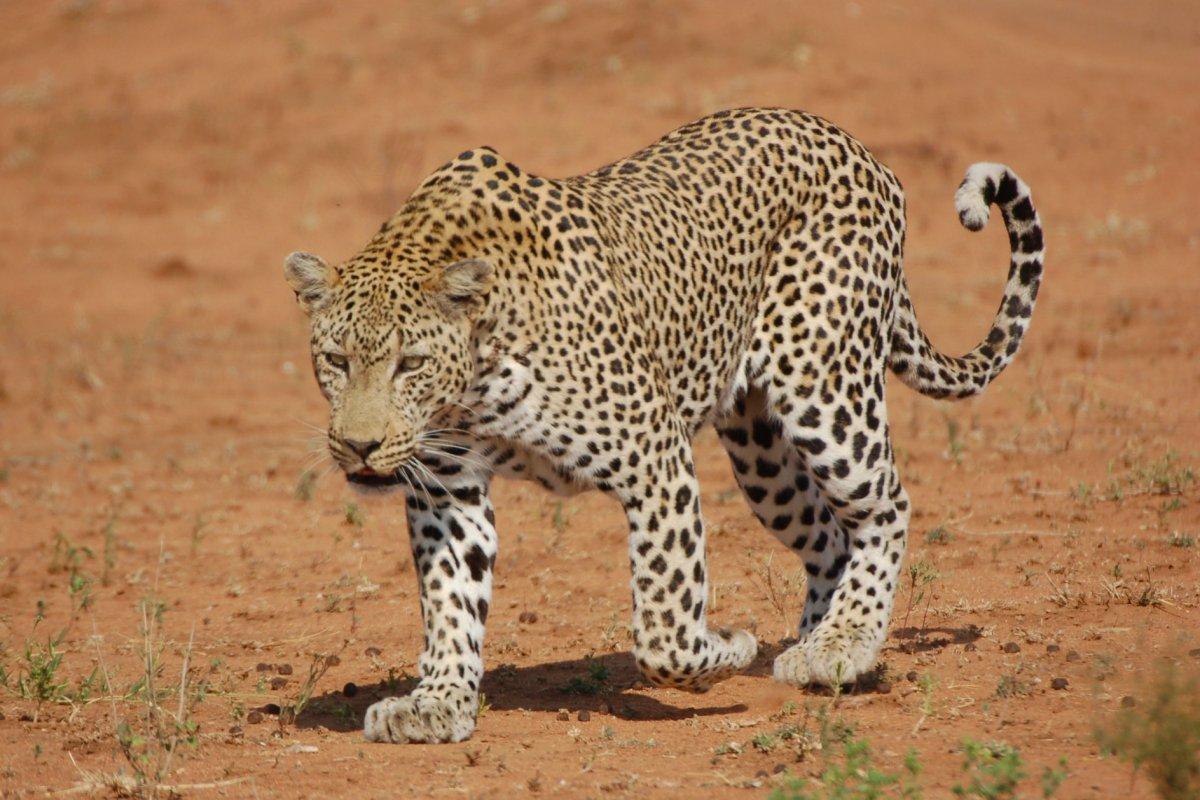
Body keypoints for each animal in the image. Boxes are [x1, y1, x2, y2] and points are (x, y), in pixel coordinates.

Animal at [280, 106, 1041, 743]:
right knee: (829, 538)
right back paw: (818, 647)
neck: (473, 377)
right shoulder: (446, 490)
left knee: (886, 507)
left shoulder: (653, 451)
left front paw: (723, 650)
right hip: (762, 455)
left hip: (826, 391)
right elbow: (450, 602)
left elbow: (663, 618)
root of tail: (859, 149)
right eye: (336, 360)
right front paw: (437, 703)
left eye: (409, 363)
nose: (359, 446)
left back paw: (842, 643)